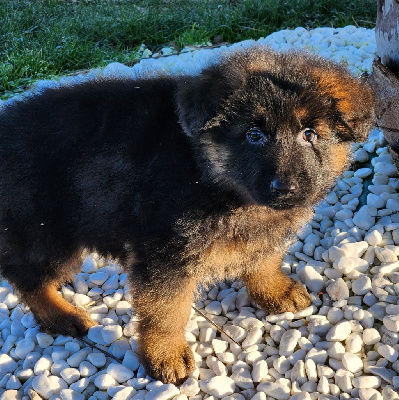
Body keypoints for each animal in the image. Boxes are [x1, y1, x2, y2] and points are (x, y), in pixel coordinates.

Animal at [0, 46, 376, 382]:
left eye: (309, 134)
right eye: (253, 135)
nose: (284, 188)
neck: (205, 170)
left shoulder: (259, 231)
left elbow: (263, 257)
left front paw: (273, 289)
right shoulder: (164, 253)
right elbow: (166, 311)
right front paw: (165, 355)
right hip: (46, 233)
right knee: (27, 279)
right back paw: (62, 315)